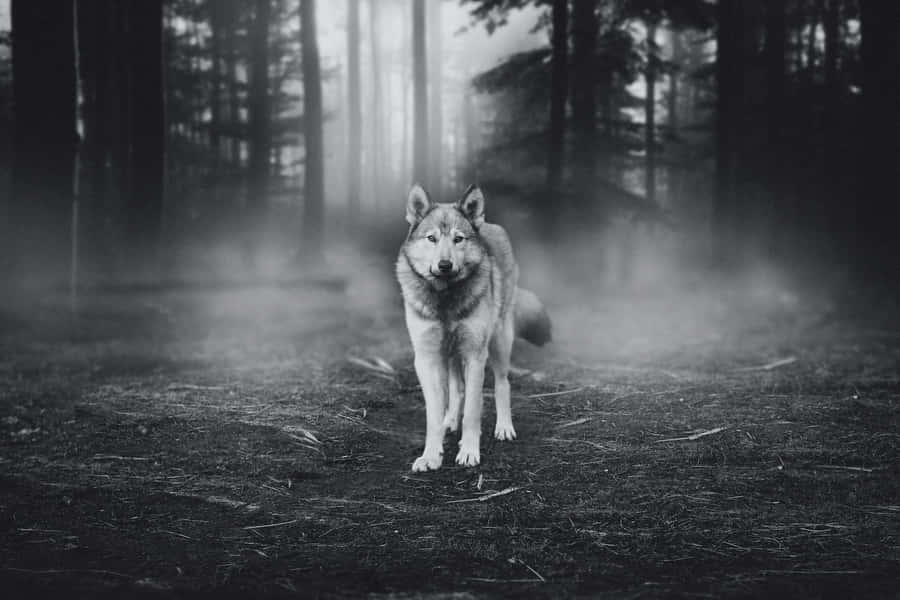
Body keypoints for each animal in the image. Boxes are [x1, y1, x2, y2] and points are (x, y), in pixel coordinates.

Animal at [396, 184, 551, 471]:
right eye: (432, 238)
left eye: (459, 239)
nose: (445, 265)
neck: (445, 299)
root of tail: (489, 223)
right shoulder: (426, 359)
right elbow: (433, 415)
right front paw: (431, 455)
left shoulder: (475, 356)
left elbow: (472, 411)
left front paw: (468, 452)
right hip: (450, 354)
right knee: (456, 390)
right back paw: (449, 421)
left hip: (499, 343)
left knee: (502, 384)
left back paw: (504, 427)